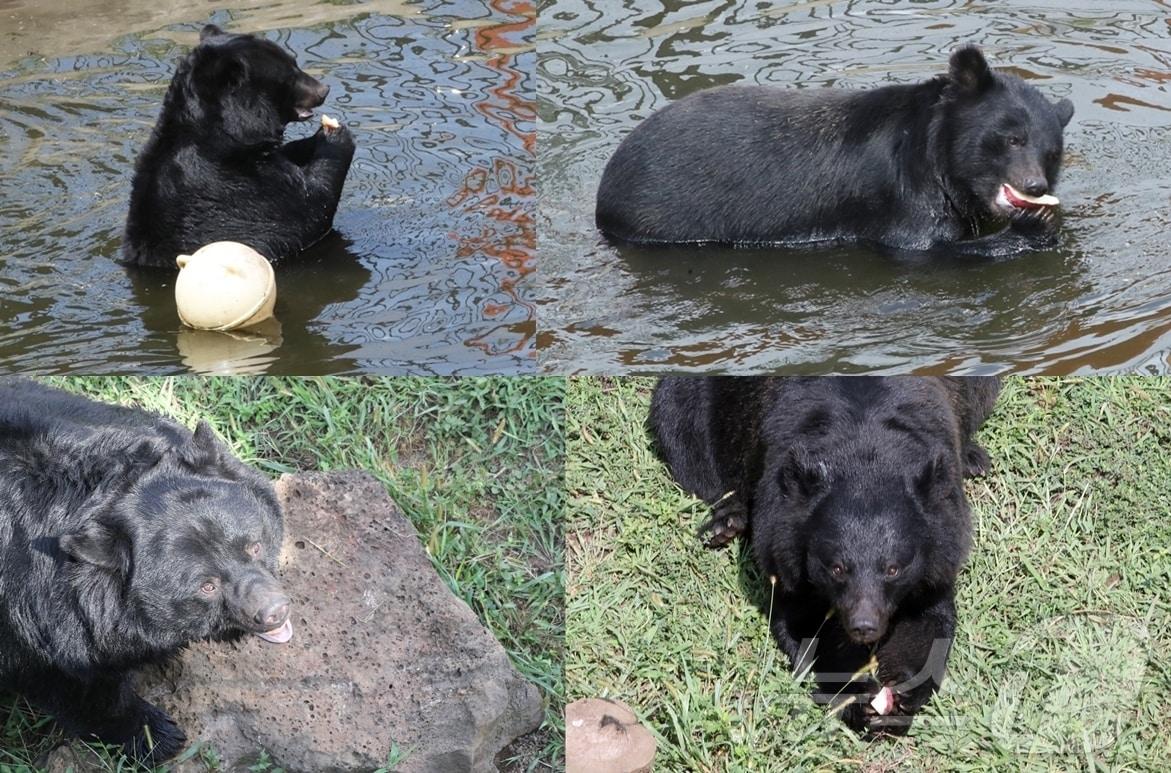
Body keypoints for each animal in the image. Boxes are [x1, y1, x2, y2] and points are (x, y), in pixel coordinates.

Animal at [0, 379, 291, 758]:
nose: (275, 611)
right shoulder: (30, 614)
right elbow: (74, 684)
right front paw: (158, 736)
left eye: (254, 546)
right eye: (207, 586)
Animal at [122, 24, 355, 268]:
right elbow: (308, 211)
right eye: (290, 73)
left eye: (295, 62)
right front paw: (334, 138)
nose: (324, 89)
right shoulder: (239, 187)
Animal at [599, 45, 1072, 256]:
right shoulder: (905, 194)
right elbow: (922, 247)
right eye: (1011, 139)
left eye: (1051, 153)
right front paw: (1035, 226)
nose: (1035, 185)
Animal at [651, 377, 997, 735]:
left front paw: (901, 692)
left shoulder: (941, 545)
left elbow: (928, 619)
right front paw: (858, 696)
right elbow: (803, 622)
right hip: (687, 401)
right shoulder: (781, 537)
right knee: (688, 447)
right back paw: (727, 523)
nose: (864, 626)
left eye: (893, 569)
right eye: (837, 568)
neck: (866, 456)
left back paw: (974, 458)